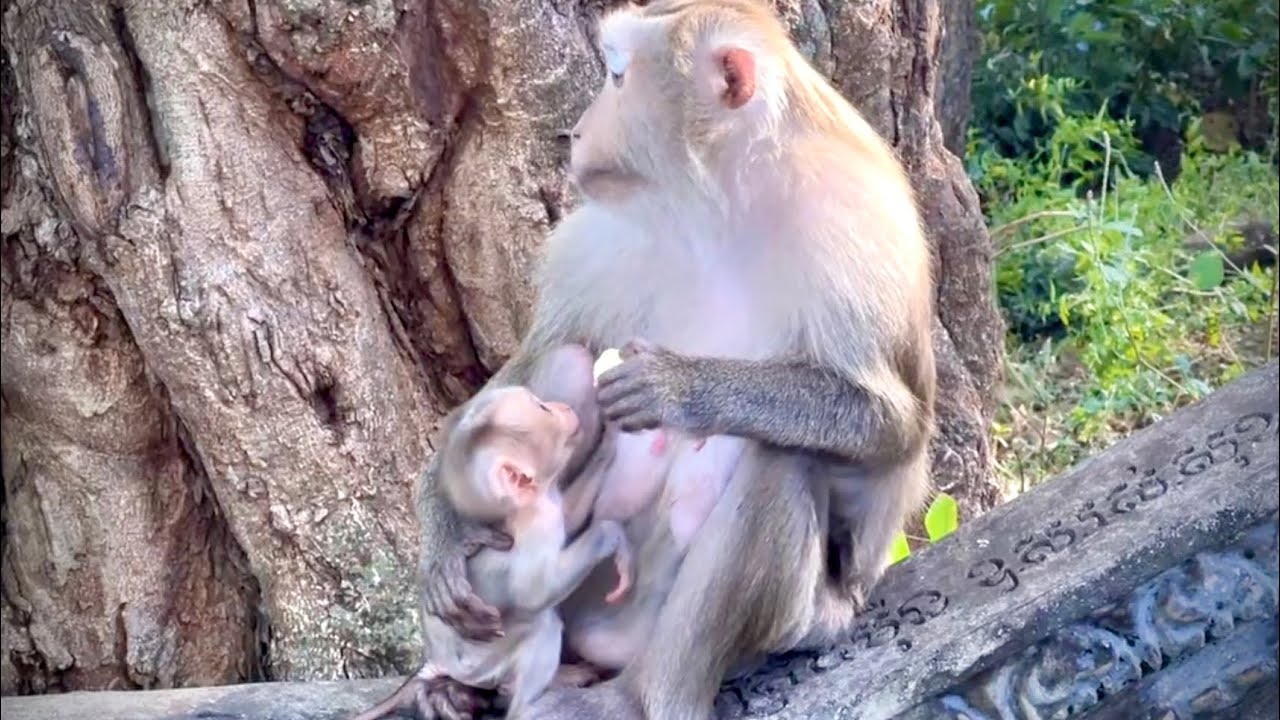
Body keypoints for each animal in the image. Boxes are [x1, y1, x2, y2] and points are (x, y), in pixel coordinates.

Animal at [355, 345, 634, 720]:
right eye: (542, 409)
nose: (563, 408)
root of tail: (439, 660)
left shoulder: (548, 503)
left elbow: (571, 515)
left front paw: (608, 441)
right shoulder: (536, 524)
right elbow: (536, 590)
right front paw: (610, 535)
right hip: (482, 662)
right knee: (541, 625)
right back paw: (532, 699)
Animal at [416, 2, 937, 719]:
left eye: (616, 77)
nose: (576, 132)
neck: (719, 205)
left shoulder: (852, 230)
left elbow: (891, 424)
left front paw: (680, 387)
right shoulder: (595, 237)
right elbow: (528, 364)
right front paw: (445, 536)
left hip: (803, 619)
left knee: (781, 457)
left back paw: (645, 694)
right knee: (568, 366)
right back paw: (462, 681)